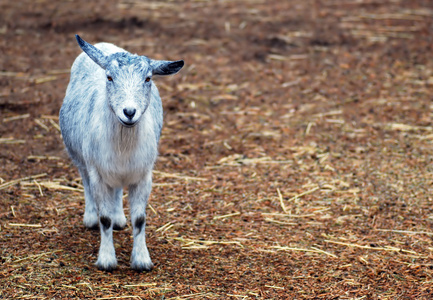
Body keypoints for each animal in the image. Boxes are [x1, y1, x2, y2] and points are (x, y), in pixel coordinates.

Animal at [59, 35, 184, 272]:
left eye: (148, 79)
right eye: (109, 77)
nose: (129, 112)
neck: (124, 143)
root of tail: (103, 44)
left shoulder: (144, 176)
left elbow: (140, 219)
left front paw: (142, 260)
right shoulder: (97, 173)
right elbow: (104, 219)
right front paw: (107, 260)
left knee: (117, 190)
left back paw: (119, 218)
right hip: (80, 157)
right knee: (86, 183)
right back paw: (90, 217)